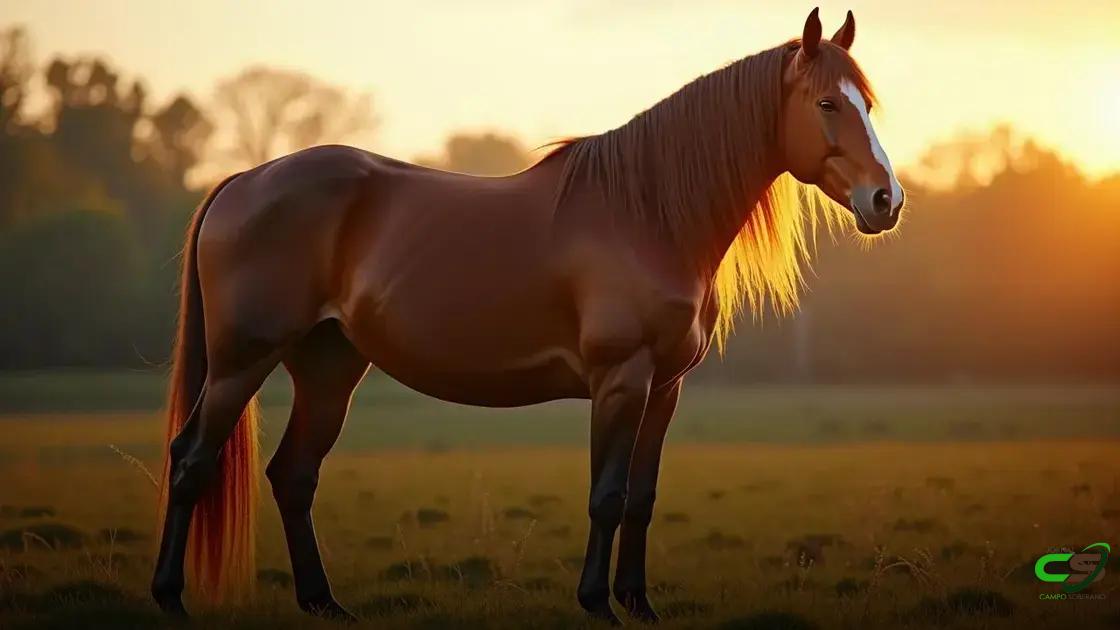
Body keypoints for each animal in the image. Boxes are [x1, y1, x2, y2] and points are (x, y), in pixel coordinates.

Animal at [151, 7, 903, 624]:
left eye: (869, 104)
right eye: (828, 102)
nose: (886, 201)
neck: (648, 215)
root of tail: (242, 181)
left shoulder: (665, 388)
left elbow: (641, 496)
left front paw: (640, 604)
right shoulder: (621, 380)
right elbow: (606, 494)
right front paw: (598, 604)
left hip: (329, 367)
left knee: (293, 475)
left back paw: (324, 603)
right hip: (241, 363)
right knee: (192, 460)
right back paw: (170, 598)